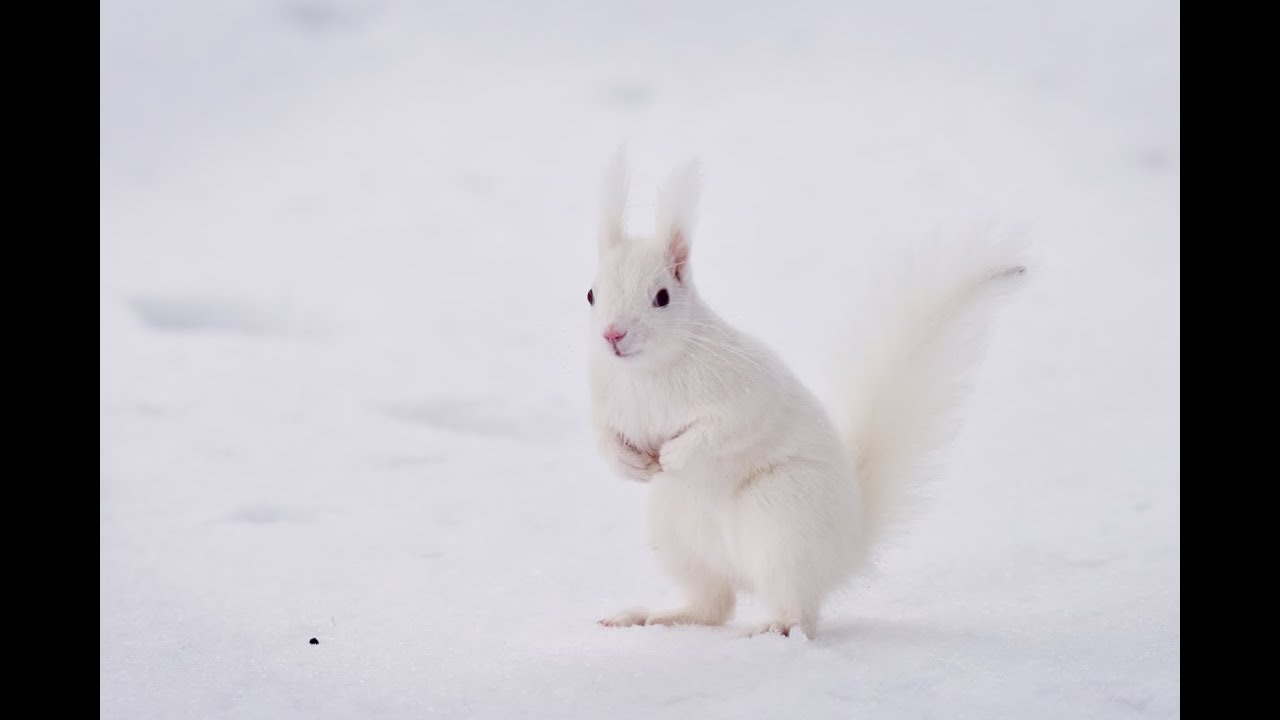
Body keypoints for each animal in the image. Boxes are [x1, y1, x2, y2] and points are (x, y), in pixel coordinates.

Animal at [588, 153, 1026, 639]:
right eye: (590, 294)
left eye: (662, 297)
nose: (612, 335)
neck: (647, 373)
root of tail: (846, 550)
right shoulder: (604, 399)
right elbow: (602, 437)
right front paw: (630, 464)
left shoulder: (745, 390)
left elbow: (726, 428)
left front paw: (675, 455)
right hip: (677, 535)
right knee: (713, 604)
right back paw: (648, 617)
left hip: (780, 519)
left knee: (798, 615)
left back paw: (765, 628)